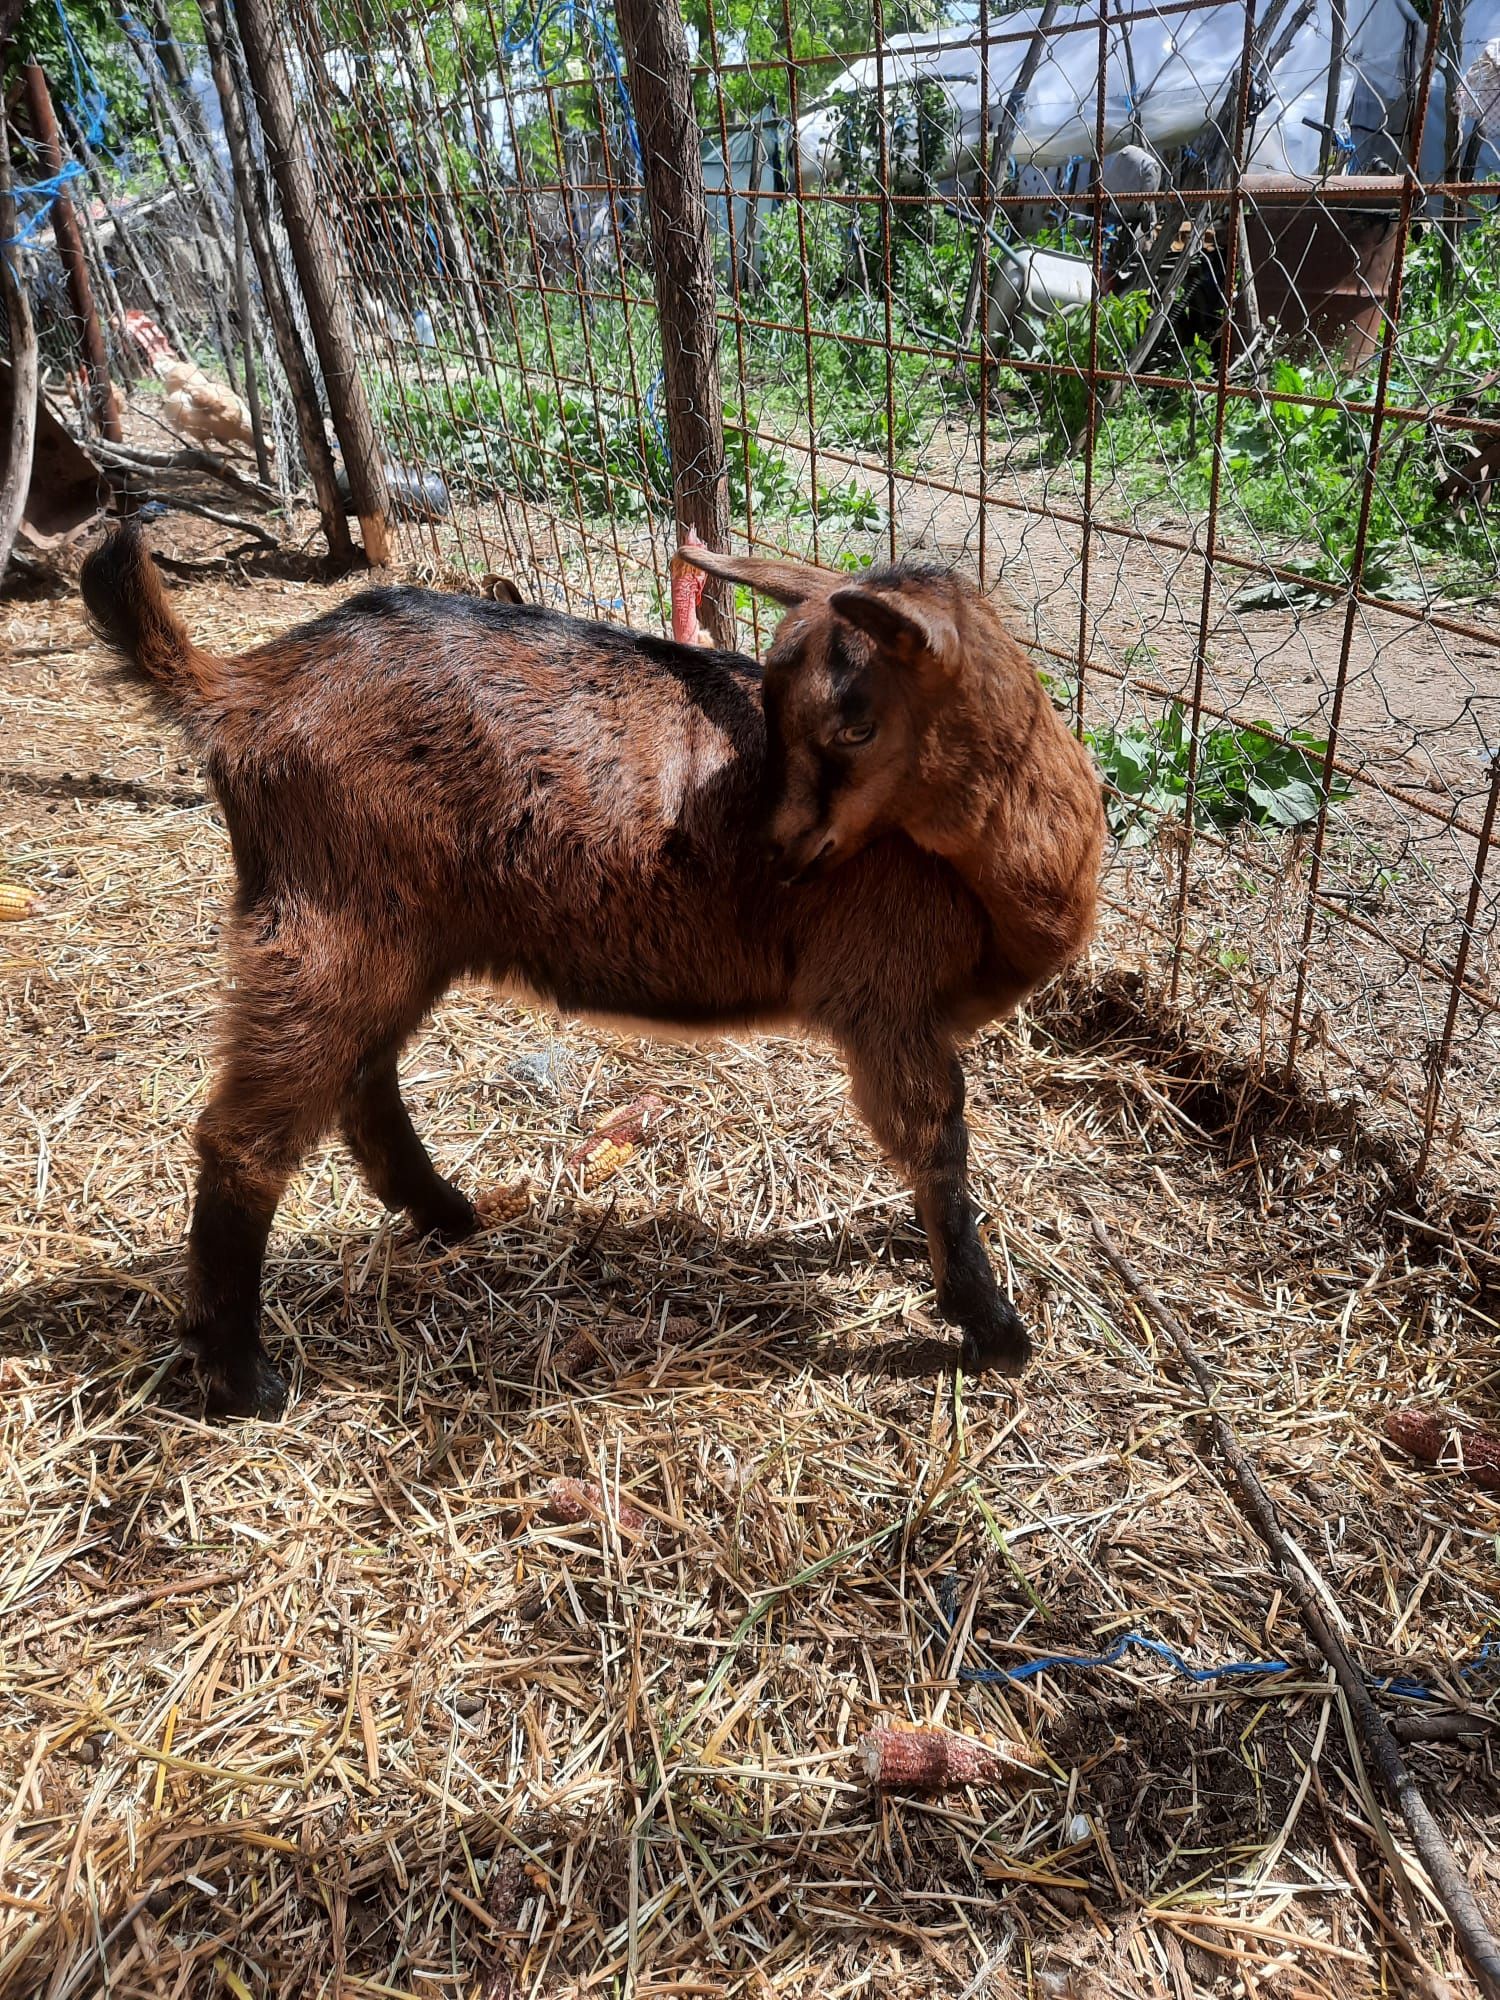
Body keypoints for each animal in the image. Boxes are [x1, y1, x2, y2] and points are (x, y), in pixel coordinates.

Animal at [79, 524, 1104, 1416]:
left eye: (853, 726)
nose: (768, 852)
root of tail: (243, 687)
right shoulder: (887, 999)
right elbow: (936, 1144)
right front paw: (993, 1328)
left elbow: (928, 1161)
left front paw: (917, 1249)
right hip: (328, 921)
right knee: (245, 1139)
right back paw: (241, 1378)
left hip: (394, 937)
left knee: (362, 1083)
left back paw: (448, 1216)